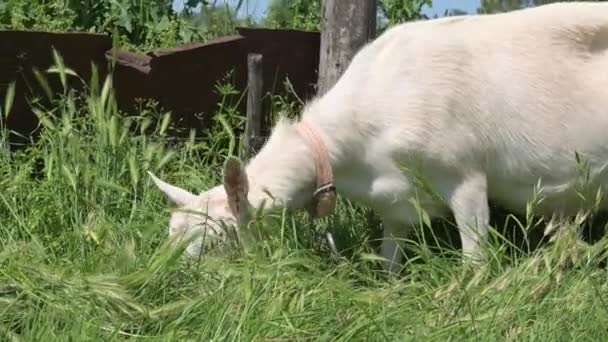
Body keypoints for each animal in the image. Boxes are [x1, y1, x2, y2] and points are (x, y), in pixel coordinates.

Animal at [151, 1, 608, 272]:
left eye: (215, 239)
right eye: (171, 230)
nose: (162, 279)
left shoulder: (464, 176)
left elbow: (474, 255)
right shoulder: (397, 202)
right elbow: (389, 260)